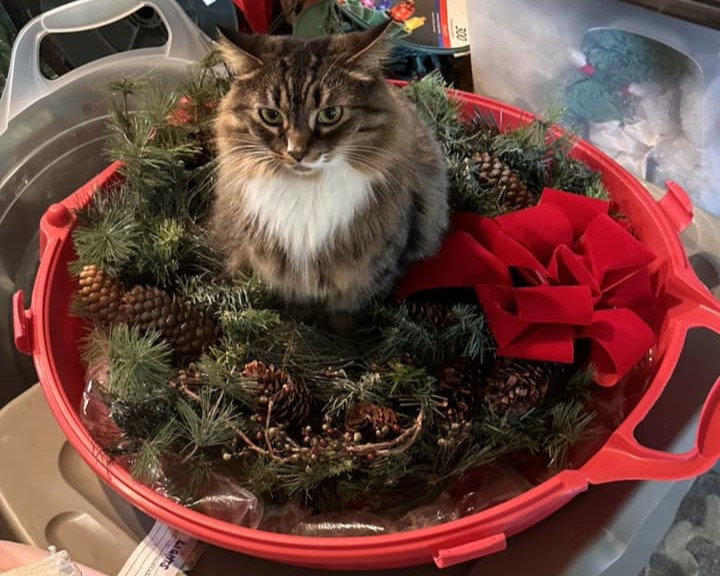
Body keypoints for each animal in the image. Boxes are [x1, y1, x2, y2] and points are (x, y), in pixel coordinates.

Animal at [205, 23, 450, 316]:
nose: (296, 152)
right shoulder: (281, 279)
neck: (306, 190)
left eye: (330, 114)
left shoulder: (370, 274)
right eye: (271, 115)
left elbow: (343, 317)